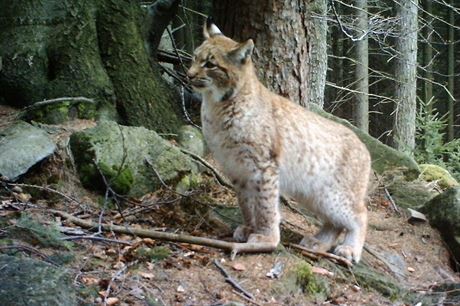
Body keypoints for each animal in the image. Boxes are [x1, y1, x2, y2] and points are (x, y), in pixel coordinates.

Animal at [187, 19, 370, 262]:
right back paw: (318, 242)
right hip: (315, 193)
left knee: (361, 214)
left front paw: (266, 238)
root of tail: (363, 145)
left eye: (210, 64)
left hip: (335, 194)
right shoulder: (236, 167)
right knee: (336, 222)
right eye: (194, 58)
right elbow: (246, 203)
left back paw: (350, 250)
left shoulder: (264, 166)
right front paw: (249, 228)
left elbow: (265, 205)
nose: (188, 75)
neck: (218, 105)